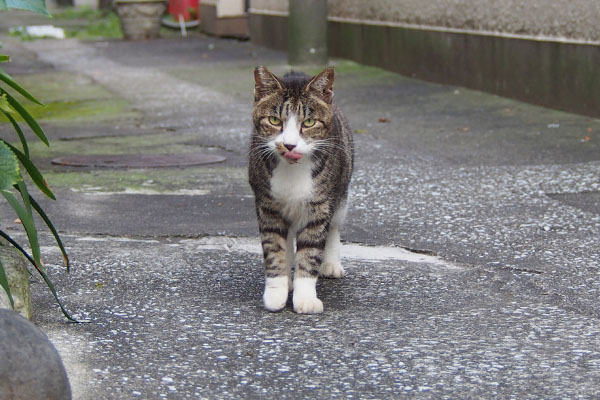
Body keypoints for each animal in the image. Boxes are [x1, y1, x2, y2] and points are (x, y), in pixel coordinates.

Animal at [247, 65, 352, 314]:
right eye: (274, 120)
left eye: (310, 122)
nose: (289, 145)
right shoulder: (267, 205)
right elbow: (274, 248)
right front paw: (276, 292)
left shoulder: (320, 205)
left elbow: (311, 251)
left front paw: (305, 298)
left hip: (341, 192)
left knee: (334, 226)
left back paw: (330, 264)